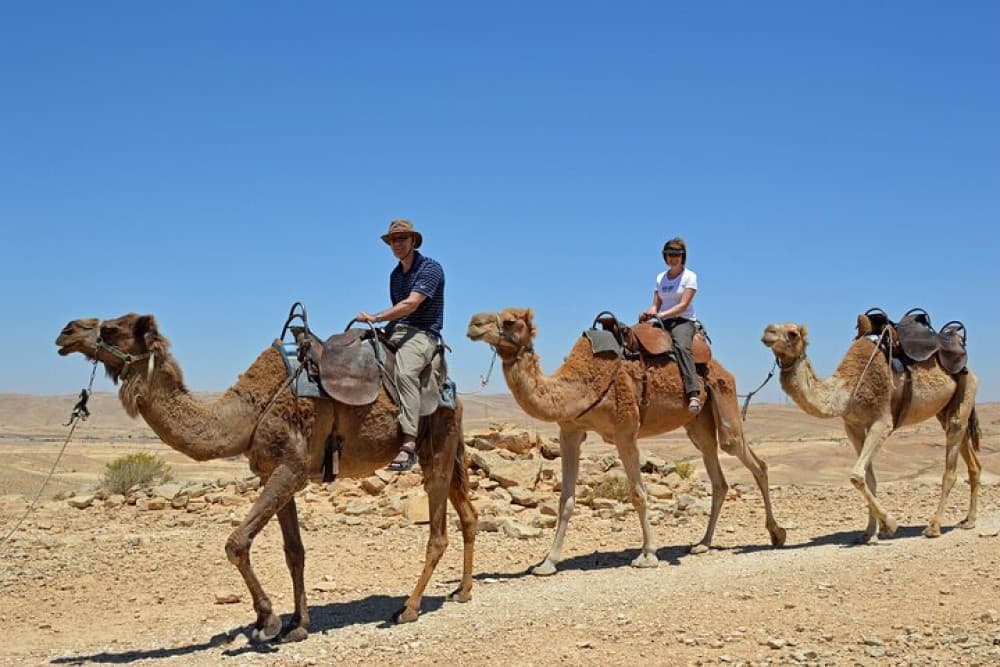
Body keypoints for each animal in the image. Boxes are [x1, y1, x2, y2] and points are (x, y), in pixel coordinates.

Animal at [56, 313, 477, 642]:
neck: (247, 412)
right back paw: (462, 591)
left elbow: (236, 542)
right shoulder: (274, 473)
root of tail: (450, 388)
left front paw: (267, 621)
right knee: (468, 515)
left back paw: (408, 608)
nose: (66, 332)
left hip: (436, 442)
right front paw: (296, 624)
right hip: (443, 447)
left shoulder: (291, 469)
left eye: (112, 328)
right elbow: (294, 552)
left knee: (438, 533)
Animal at [467, 308, 786, 576]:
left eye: (510, 320)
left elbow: (638, 494)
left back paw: (776, 534)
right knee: (717, 474)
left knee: (751, 459)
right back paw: (703, 542)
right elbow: (565, 499)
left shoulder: (626, 431)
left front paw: (647, 555)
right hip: (697, 423)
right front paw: (547, 563)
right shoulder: (570, 431)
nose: (473, 323)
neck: (578, 386)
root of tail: (720, 366)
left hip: (724, 398)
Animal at [761, 322, 981, 543]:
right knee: (973, 463)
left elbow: (857, 475)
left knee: (951, 468)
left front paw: (890, 524)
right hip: (945, 410)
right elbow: (869, 478)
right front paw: (869, 532)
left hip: (965, 390)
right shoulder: (853, 426)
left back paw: (934, 527)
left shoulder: (882, 421)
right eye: (773, 327)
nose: (767, 332)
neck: (847, 390)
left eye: (792, 333)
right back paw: (969, 520)